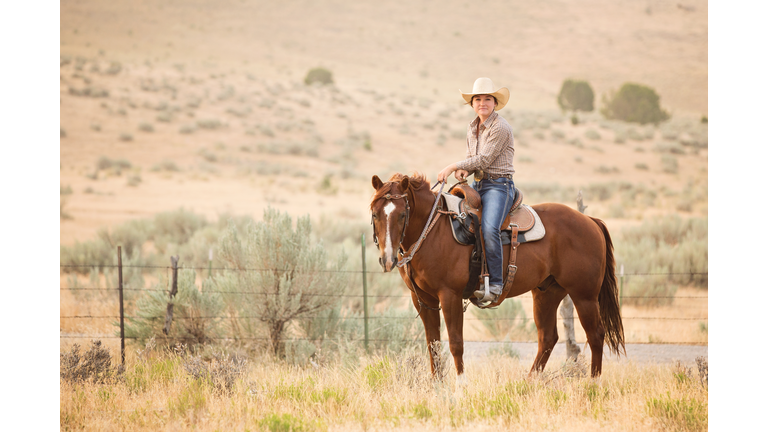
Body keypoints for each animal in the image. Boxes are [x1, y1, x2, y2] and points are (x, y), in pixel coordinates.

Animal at [372, 172, 624, 378]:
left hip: (584, 295)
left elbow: (456, 343)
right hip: (547, 293)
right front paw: (437, 387)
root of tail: (591, 221)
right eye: (375, 214)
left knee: (596, 334)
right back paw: (529, 382)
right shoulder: (424, 299)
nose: (387, 259)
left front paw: (460, 386)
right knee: (548, 338)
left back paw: (593, 383)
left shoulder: (450, 295)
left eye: (402, 214)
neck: (433, 230)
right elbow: (432, 344)